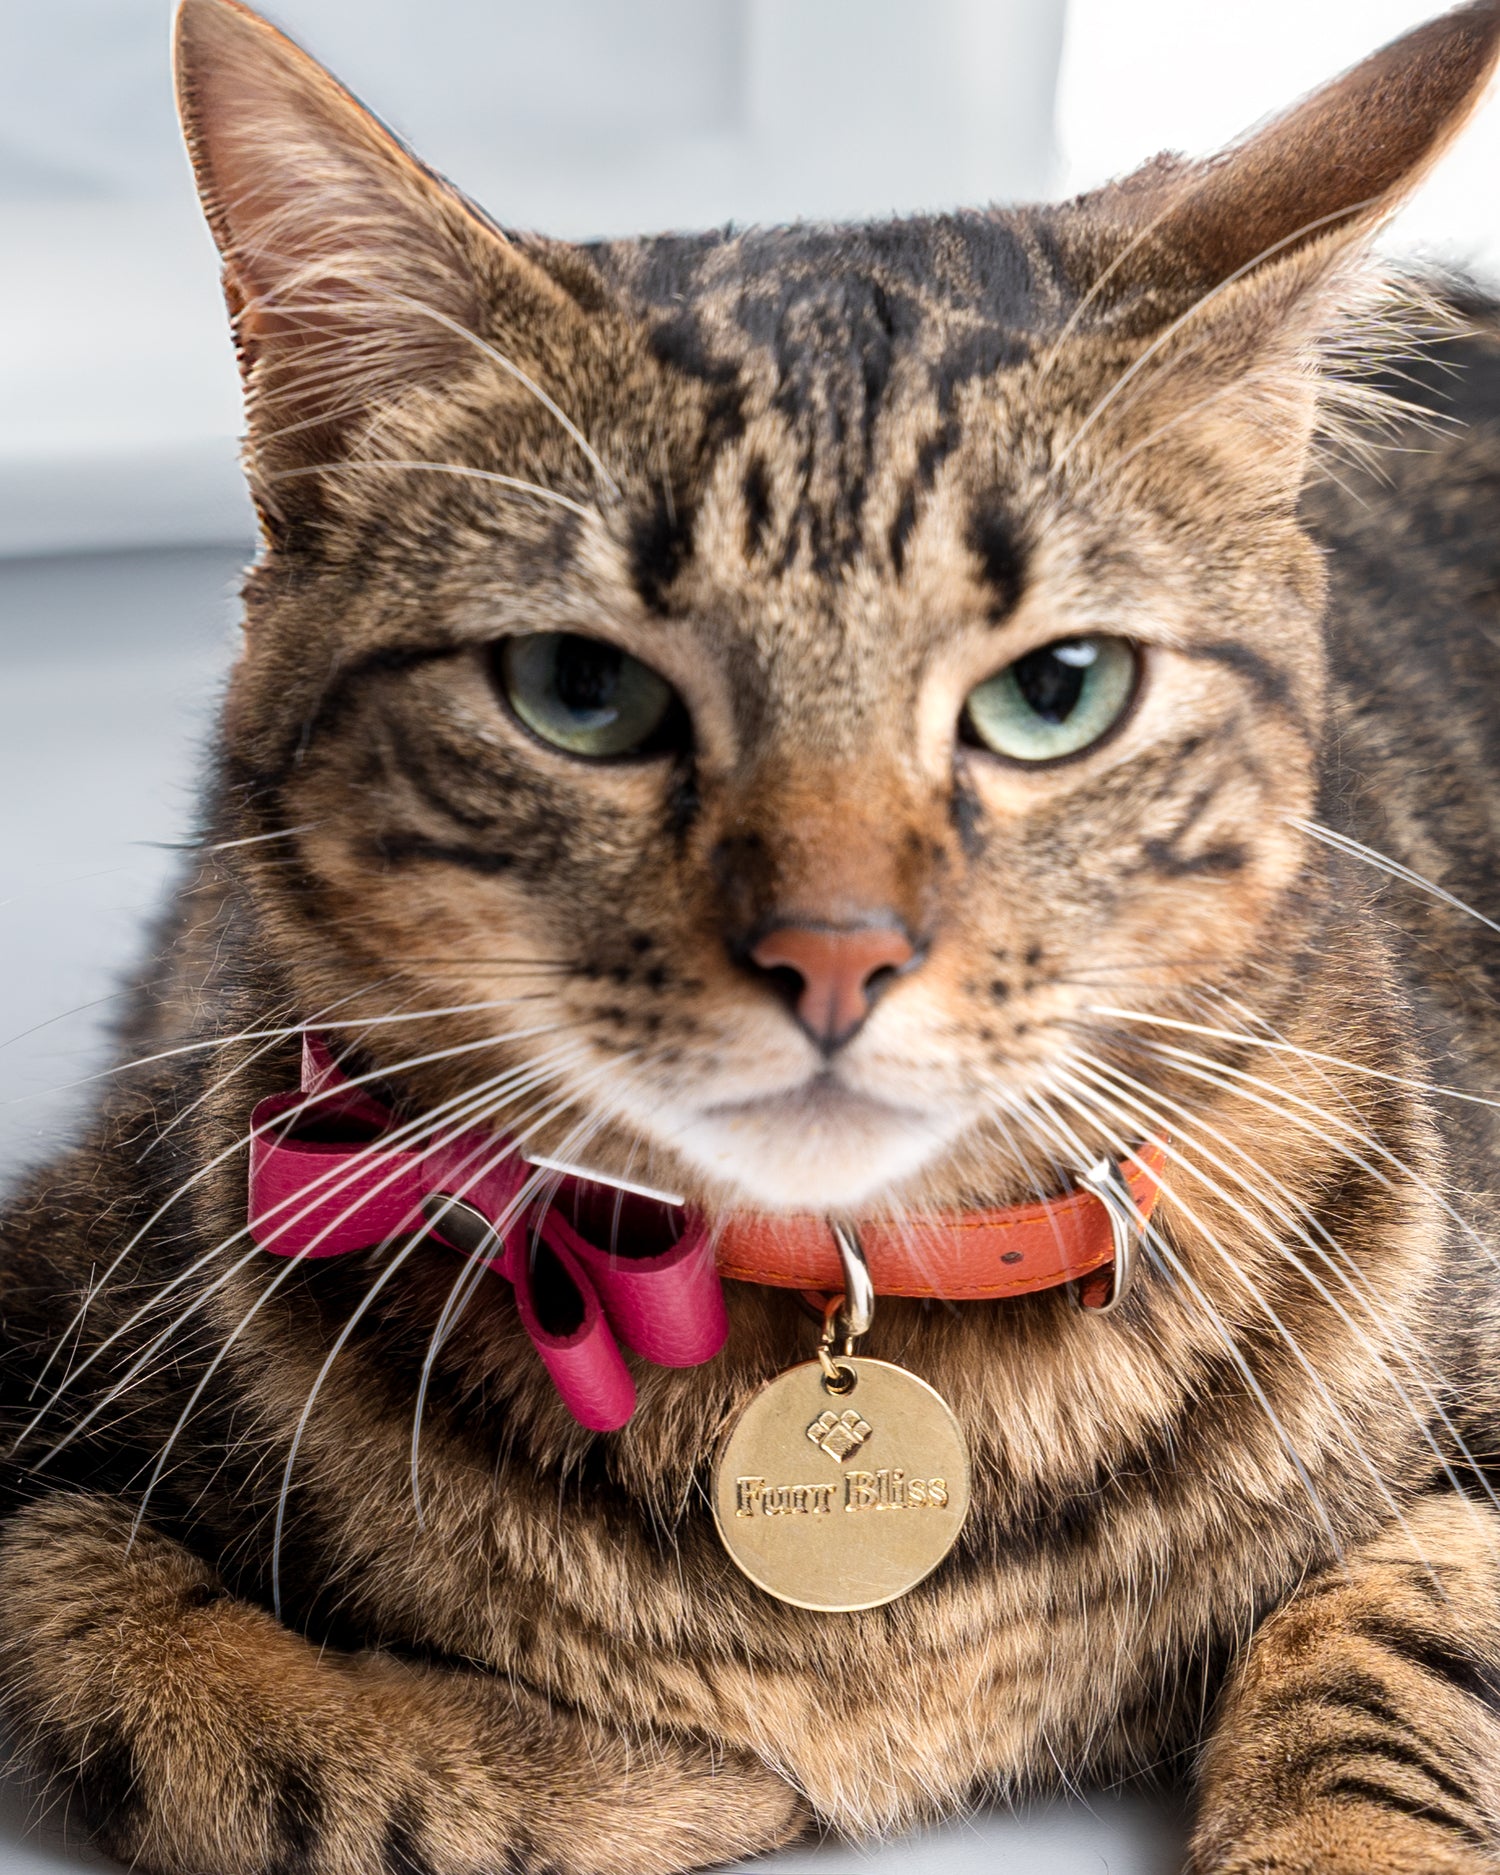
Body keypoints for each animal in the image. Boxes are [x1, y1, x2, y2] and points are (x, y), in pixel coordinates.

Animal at [2, 0, 1500, 1867]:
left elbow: (1397, 1626)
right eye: (579, 691)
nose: (835, 953)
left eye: (1058, 693)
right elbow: (180, 1685)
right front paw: (655, 1769)